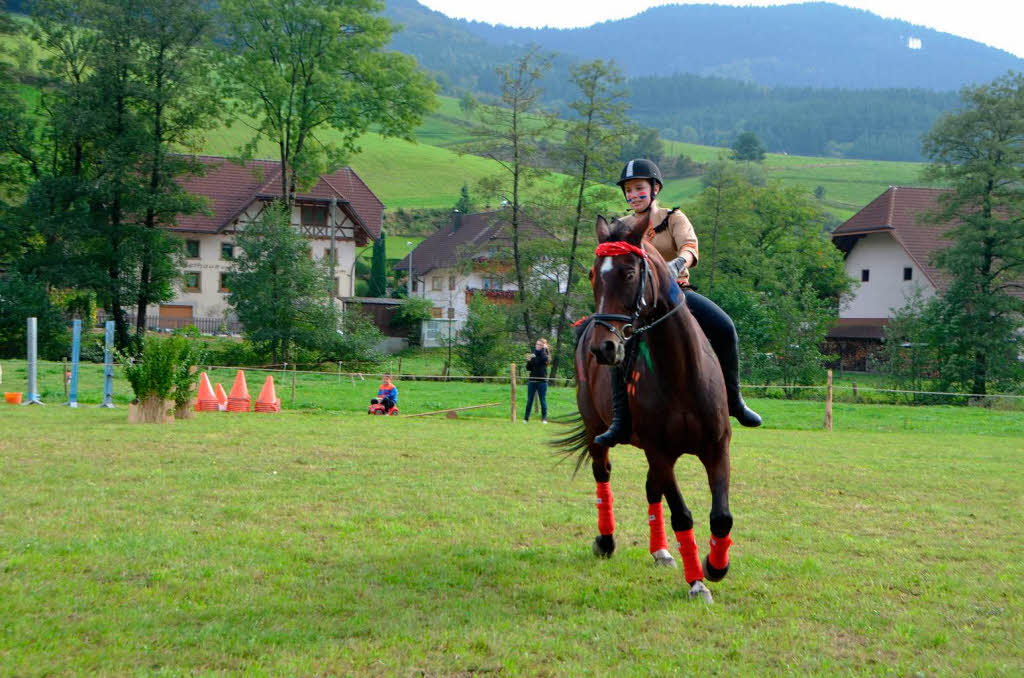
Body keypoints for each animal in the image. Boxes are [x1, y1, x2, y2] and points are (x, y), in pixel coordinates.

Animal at [557, 215, 733, 602]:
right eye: (593, 274)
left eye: (628, 273)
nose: (603, 348)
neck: (681, 372)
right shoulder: (661, 452)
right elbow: (682, 515)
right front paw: (697, 582)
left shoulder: (716, 448)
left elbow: (721, 517)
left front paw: (716, 566)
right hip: (597, 431)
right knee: (603, 475)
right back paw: (606, 541)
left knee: (652, 489)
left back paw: (661, 550)